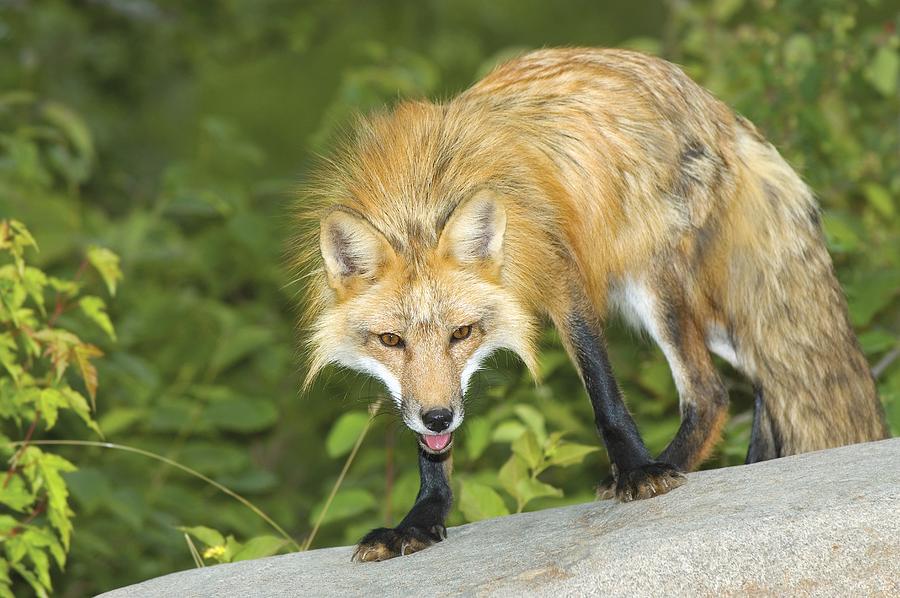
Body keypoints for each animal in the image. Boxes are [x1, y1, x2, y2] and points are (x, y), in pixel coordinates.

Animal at [294, 48, 888, 562]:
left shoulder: (563, 278)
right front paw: (421, 520)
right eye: (391, 341)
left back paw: (667, 463)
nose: (439, 415)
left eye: (462, 333)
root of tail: (716, 108)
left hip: (654, 285)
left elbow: (604, 394)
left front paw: (638, 470)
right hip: (702, 310)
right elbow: (430, 451)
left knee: (713, 391)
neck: (420, 200)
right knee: (769, 373)